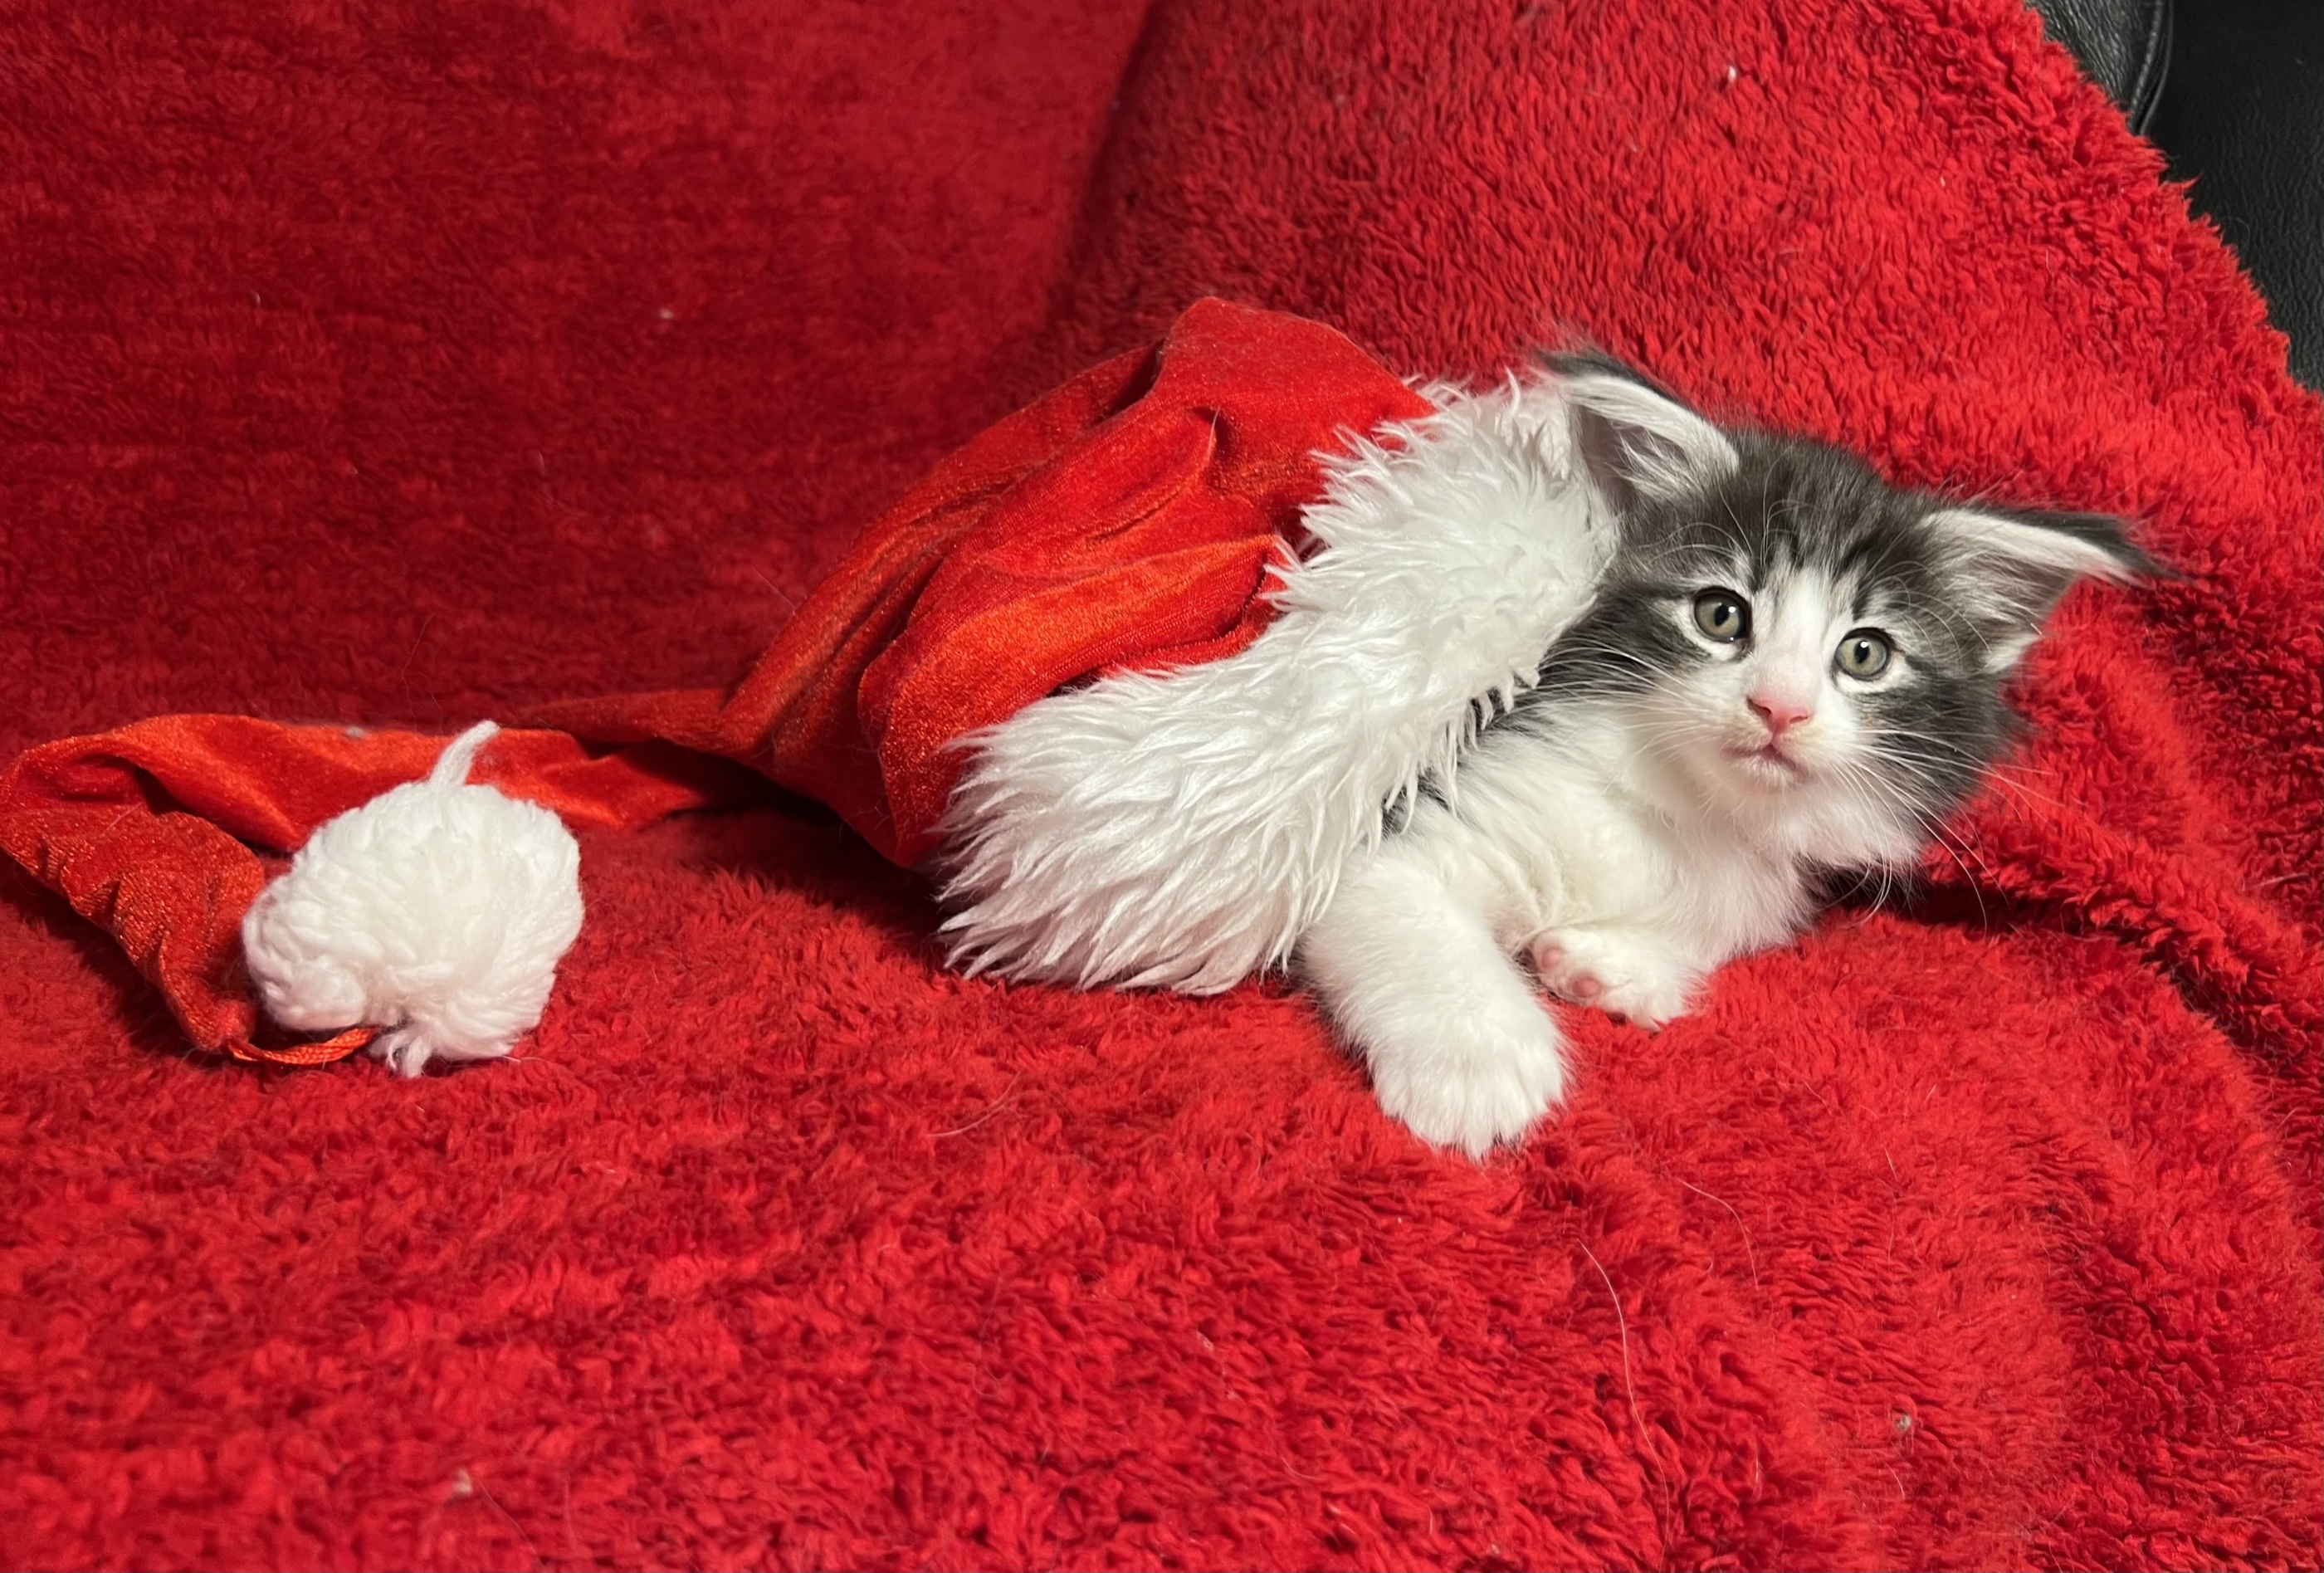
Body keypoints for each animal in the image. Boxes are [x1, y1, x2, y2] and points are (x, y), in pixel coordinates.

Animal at [1296, 355, 2153, 1155]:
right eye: (1720, 614)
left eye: (1865, 653)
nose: (1780, 706)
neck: (1684, 811)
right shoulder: (1419, 815)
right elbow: (1390, 904)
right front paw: (1479, 1069)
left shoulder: (1761, 889)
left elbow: (1719, 929)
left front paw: (1615, 963)